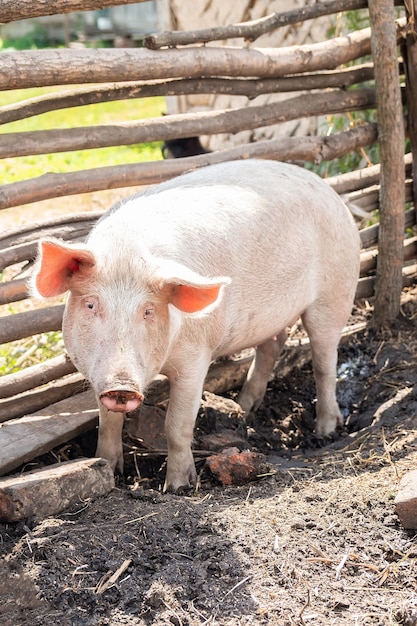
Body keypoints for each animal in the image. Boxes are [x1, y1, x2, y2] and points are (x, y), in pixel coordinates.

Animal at [31, 158, 358, 490]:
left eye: (148, 310)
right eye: (91, 305)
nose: (122, 386)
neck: (127, 253)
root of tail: (327, 189)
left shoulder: (196, 356)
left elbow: (177, 425)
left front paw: (177, 487)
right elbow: (107, 422)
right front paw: (109, 469)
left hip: (336, 291)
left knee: (324, 361)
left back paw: (325, 430)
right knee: (272, 346)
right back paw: (244, 407)